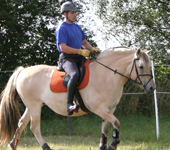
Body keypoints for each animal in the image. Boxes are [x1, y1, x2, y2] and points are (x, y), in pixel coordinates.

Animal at [0, 46, 155, 149]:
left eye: (149, 65)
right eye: (141, 66)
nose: (151, 88)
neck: (106, 75)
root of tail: (23, 71)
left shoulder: (110, 108)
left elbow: (105, 128)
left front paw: (104, 145)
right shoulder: (99, 108)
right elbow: (117, 123)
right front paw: (113, 143)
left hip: (32, 106)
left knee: (21, 123)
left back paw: (13, 144)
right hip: (35, 106)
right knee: (34, 127)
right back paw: (46, 146)